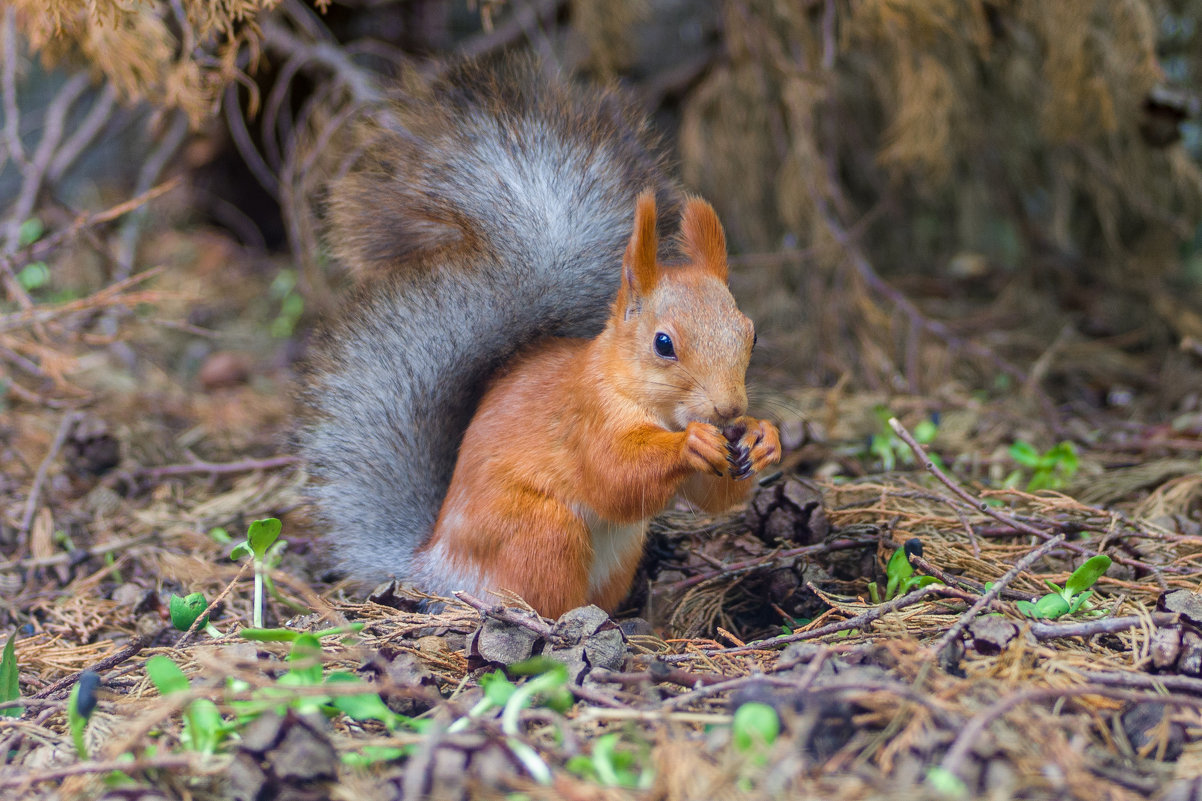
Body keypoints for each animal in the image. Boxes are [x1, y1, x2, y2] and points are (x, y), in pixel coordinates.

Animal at [296, 57, 783, 615]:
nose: (729, 409)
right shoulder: (583, 415)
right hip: (541, 532)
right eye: (664, 344)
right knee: (541, 596)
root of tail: (437, 569)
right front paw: (691, 443)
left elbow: (712, 498)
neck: (645, 400)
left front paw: (763, 437)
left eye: (750, 335)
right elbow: (615, 475)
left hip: (616, 554)